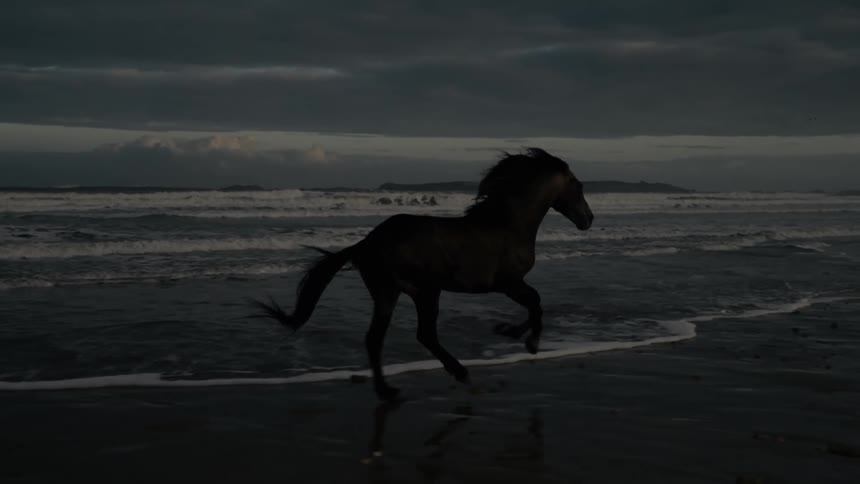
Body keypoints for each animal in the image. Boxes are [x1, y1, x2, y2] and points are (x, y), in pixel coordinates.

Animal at [253, 148, 594, 400]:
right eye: (579, 187)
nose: (588, 219)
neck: (508, 223)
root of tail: (369, 242)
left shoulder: (509, 285)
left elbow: (535, 304)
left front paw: (508, 331)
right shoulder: (508, 283)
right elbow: (536, 303)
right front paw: (528, 341)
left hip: (389, 292)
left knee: (377, 338)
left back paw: (389, 390)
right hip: (425, 290)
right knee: (423, 334)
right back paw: (453, 373)